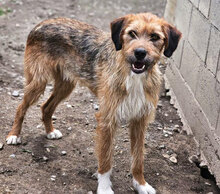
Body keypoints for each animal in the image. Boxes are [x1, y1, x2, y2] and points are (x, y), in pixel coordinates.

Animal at [6, 12, 181, 193]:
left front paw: (141, 184)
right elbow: (105, 160)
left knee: (46, 107)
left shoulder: (140, 121)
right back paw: (14, 135)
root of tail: (42, 22)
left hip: (65, 85)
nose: (140, 53)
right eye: (132, 33)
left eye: (155, 37)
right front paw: (104, 188)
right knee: (21, 107)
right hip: (38, 82)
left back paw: (50, 131)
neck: (133, 75)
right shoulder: (107, 120)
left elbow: (138, 159)